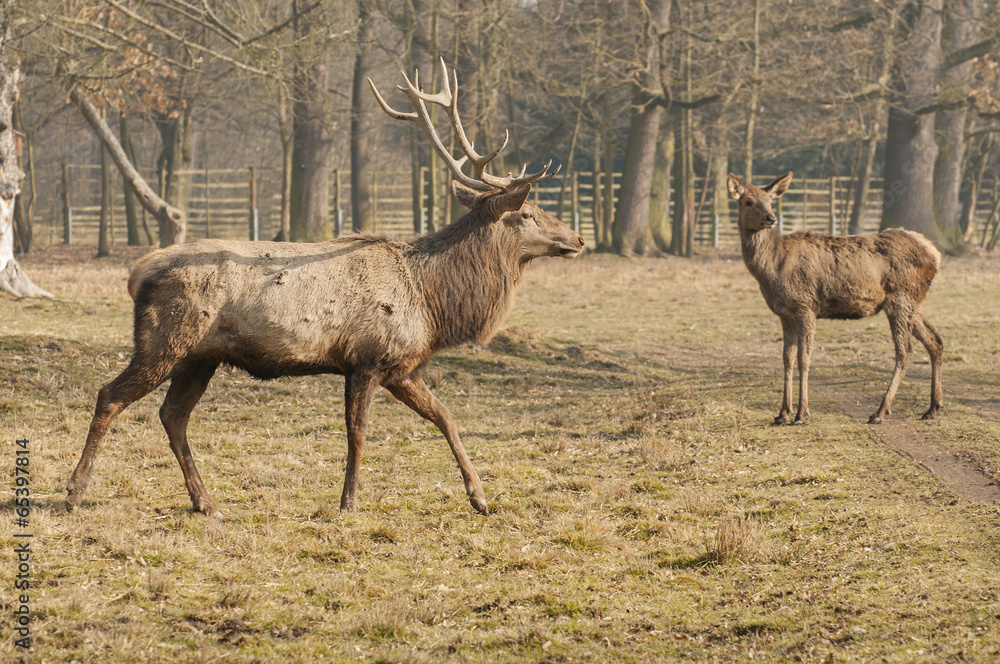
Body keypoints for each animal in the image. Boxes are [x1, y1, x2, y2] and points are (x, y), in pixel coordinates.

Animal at [65, 59, 584, 518]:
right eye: (528, 212)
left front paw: (480, 497)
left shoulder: (401, 366)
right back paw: (74, 492)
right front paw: (348, 504)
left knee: (173, 415)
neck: (433, 303)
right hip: (164, 340)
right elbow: (358, 433)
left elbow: (446, 417)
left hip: (200, 357)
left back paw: (206, 503)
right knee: (110, 396)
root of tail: (137, 274)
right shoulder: (367, 359)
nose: (578, 239)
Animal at [728, 171, 943, 426]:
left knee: (905, 350)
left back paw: (880, 411)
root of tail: (935, 254)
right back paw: (933, 407)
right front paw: (782, 413)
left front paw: (801, 413)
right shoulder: (785, 313)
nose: (771, 218)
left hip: (900, 298)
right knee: (935, 340)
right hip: (912, 302)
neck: (773, 268)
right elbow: (786, 359)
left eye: (770, 201)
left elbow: (803, 357)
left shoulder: (806, 305)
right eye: (748, 201)